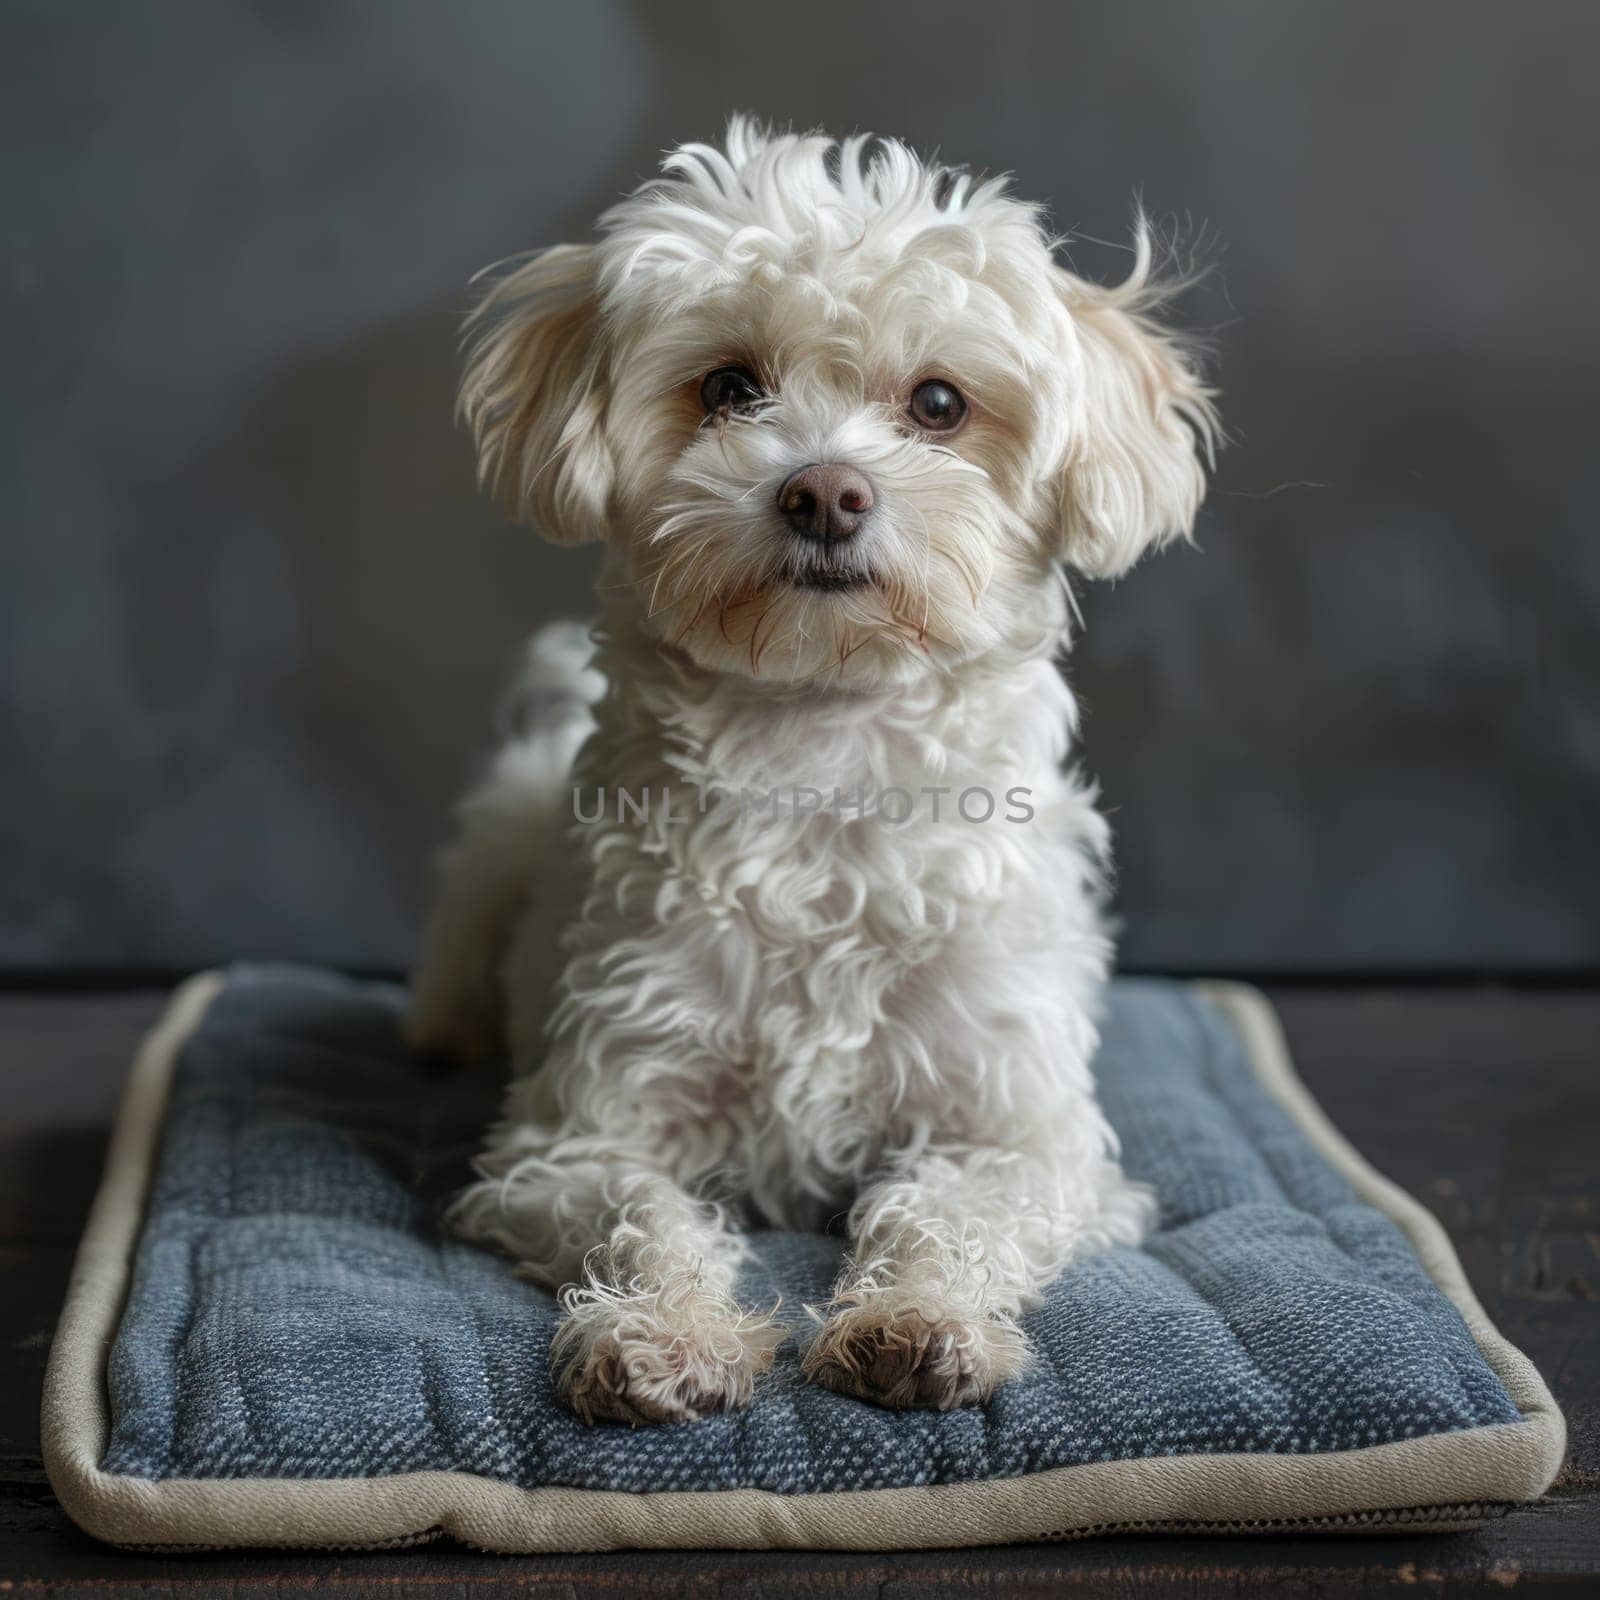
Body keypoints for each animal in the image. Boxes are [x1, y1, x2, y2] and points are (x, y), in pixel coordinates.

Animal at [409, 121, 1209, 1427]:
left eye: (938, 402)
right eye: (730, 387)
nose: (824, 491)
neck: (823, 762)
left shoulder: (1023, 1137)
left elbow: (947, 1210)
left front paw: (916, 1319)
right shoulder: (577, 1134)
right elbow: (646, 1216)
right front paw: (663, 1331)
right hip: (501, 844)